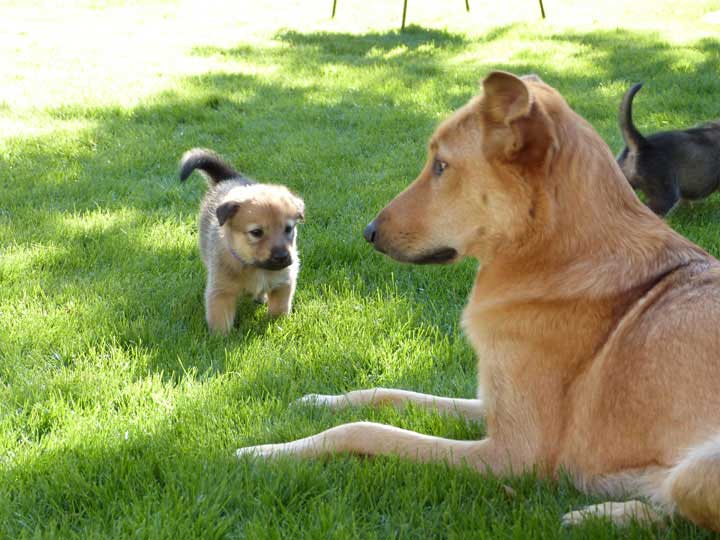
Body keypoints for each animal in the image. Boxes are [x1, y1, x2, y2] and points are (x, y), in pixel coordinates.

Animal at [181, 148, 306, 334]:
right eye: (256, 232)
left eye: (289, 229)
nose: (282, 257)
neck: (255, 268)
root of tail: (229, 178)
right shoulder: (221, 292)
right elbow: (220, 321)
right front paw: (219, 338)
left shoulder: (284, 283)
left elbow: (279, 309)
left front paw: (278, 326)